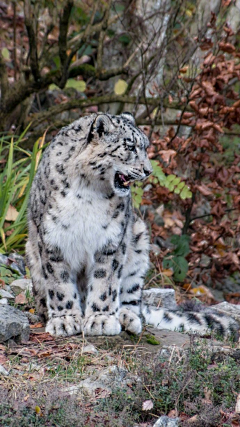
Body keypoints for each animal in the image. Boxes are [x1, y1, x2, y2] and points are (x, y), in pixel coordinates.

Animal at [25, 112, 239, 340]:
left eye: (145, 147)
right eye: (130, 147)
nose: (148, 171)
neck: (88, 192)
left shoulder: (112, 240)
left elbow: (105, 281)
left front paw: (101, 319)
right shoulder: (52, 239)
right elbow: (59, 283)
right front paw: (64, 320)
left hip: (138, 243)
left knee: (133, 298)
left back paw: (127, 318)